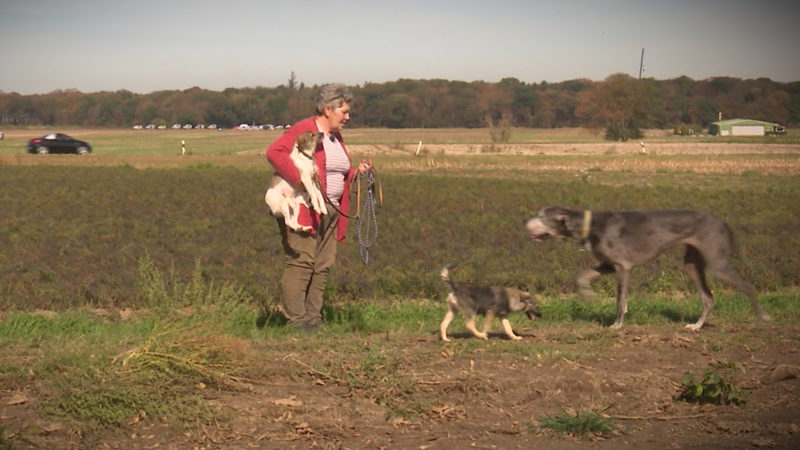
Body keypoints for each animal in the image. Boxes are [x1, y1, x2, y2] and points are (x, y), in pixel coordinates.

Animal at [524, 206, 768, 328]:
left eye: (542, 216)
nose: (525, 223)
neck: (590, 224)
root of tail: (722, 221)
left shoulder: (623, 267)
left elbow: (620, 299)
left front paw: (617, 325)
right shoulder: (608, 264)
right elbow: (582, 276)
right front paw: (588, 295)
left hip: (718, 264)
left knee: (748, 287)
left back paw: (763, 317)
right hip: (691, 265)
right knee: (708, 298)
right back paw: (696, 326)